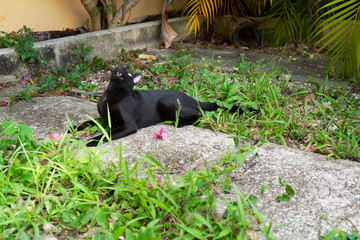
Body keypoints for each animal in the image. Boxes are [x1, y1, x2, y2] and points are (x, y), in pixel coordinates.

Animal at [71, 64, 245, 146]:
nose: (122, 68)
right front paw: (72, 128)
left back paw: (178, 124)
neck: (110, 93)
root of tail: (191, 97)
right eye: (122, 67)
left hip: (166, 101)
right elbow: (87, 122)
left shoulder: (128, 125)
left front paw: (91, 142)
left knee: (199, 115)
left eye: (129, 74)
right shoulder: (103, 118)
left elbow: (106, 134)